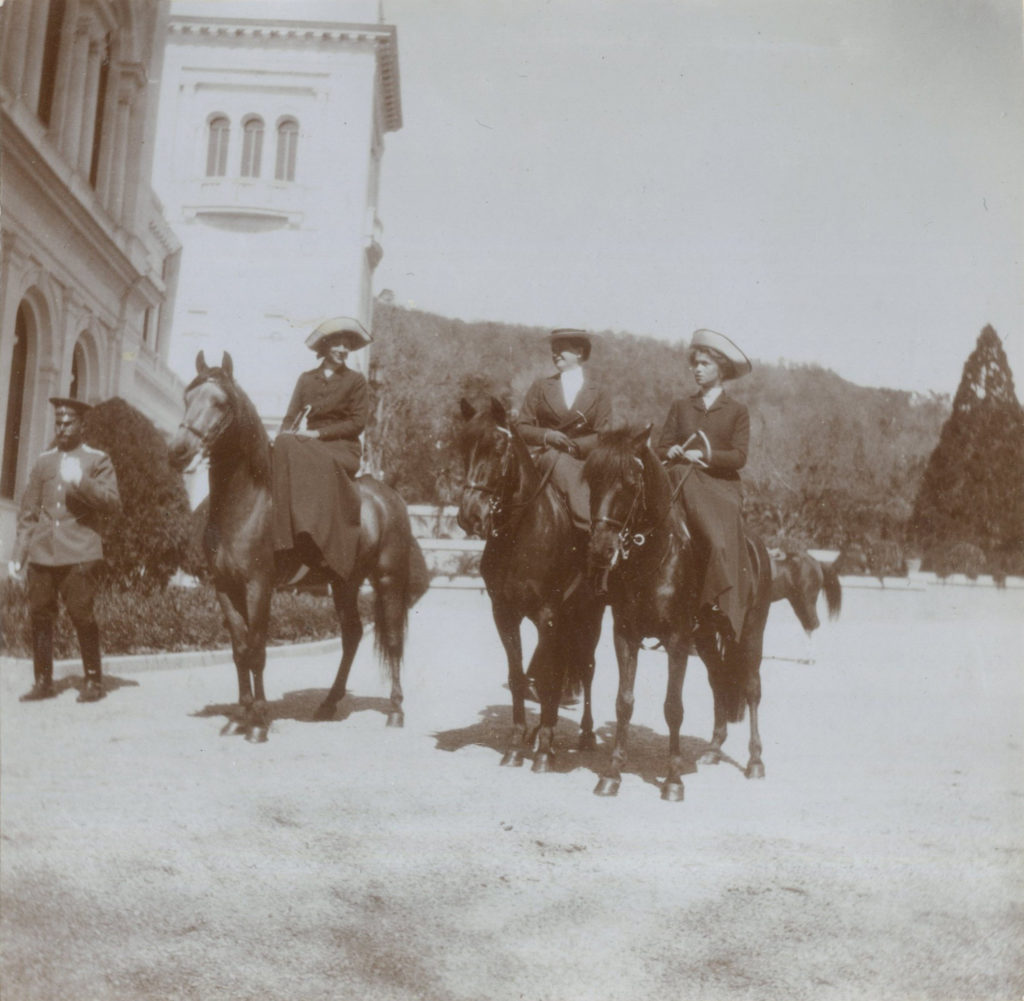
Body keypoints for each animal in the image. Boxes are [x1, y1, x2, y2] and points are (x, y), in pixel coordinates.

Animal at [169, 354, 425, 736]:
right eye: (187, 397)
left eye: (221, 402)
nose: (178, 451)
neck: (247, 502)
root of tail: (389, 497)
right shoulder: (225, 587)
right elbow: (240, 649)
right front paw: (241, 715)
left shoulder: (259, 585)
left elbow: (257, 649)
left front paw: (259, 721)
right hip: (344, 583)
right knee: (352, 635)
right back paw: (329, 703)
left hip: (388, 579)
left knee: (393, 638)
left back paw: (395, 709)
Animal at [456, 395, 598, 769]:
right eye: (463, 447)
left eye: (498, 448)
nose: (470, 515)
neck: (522, 533)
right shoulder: (505, 614)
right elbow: (519, 676)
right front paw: (518, 743)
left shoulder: (548, 615)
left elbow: (549, 678)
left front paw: (545, 749)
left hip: (589, 615)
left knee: (587, 668)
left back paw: (585, 734)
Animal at [581, 425, 770, 798]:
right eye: (593, 480)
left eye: (629, 482)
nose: (600, 549)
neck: (652, 558)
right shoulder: (625, 635)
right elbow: (624, 702)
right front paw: (612, 773)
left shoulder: (677, 639)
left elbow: (673, 707)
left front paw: (673, 779)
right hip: (708, 639)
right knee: (718, 680)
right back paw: (713, 749)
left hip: (750, 634)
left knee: (753, 688)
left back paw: (755, 761)